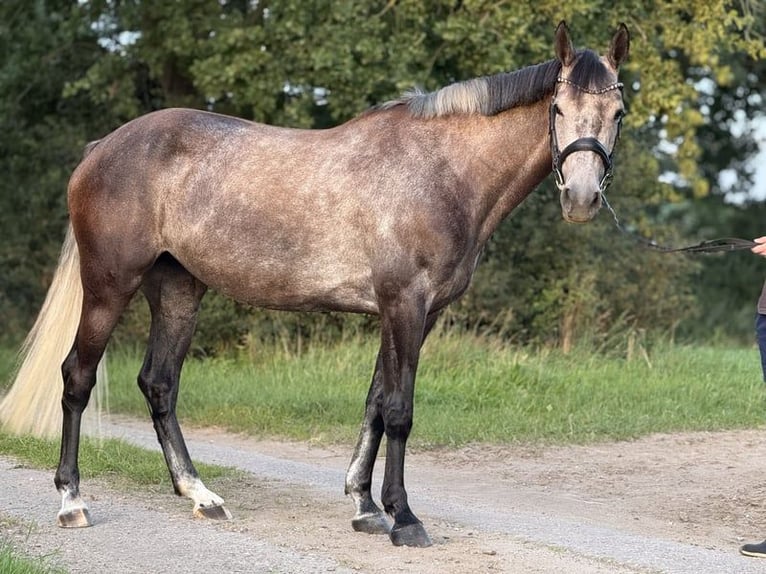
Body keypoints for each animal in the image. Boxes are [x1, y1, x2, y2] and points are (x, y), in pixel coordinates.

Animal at [0, 21, 629, 547]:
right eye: (557, 107)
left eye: (619, 113)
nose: (580, 198)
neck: (442, 170)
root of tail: (101, 148)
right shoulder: (405, 304)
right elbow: (399, 409)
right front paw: (405, 518)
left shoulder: (414, 313)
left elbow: (375, 403)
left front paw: (365, 506)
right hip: (110, 286)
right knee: (77, 378)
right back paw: (72, 502)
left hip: (178, 290)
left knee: (159, 385)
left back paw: (201, 496)